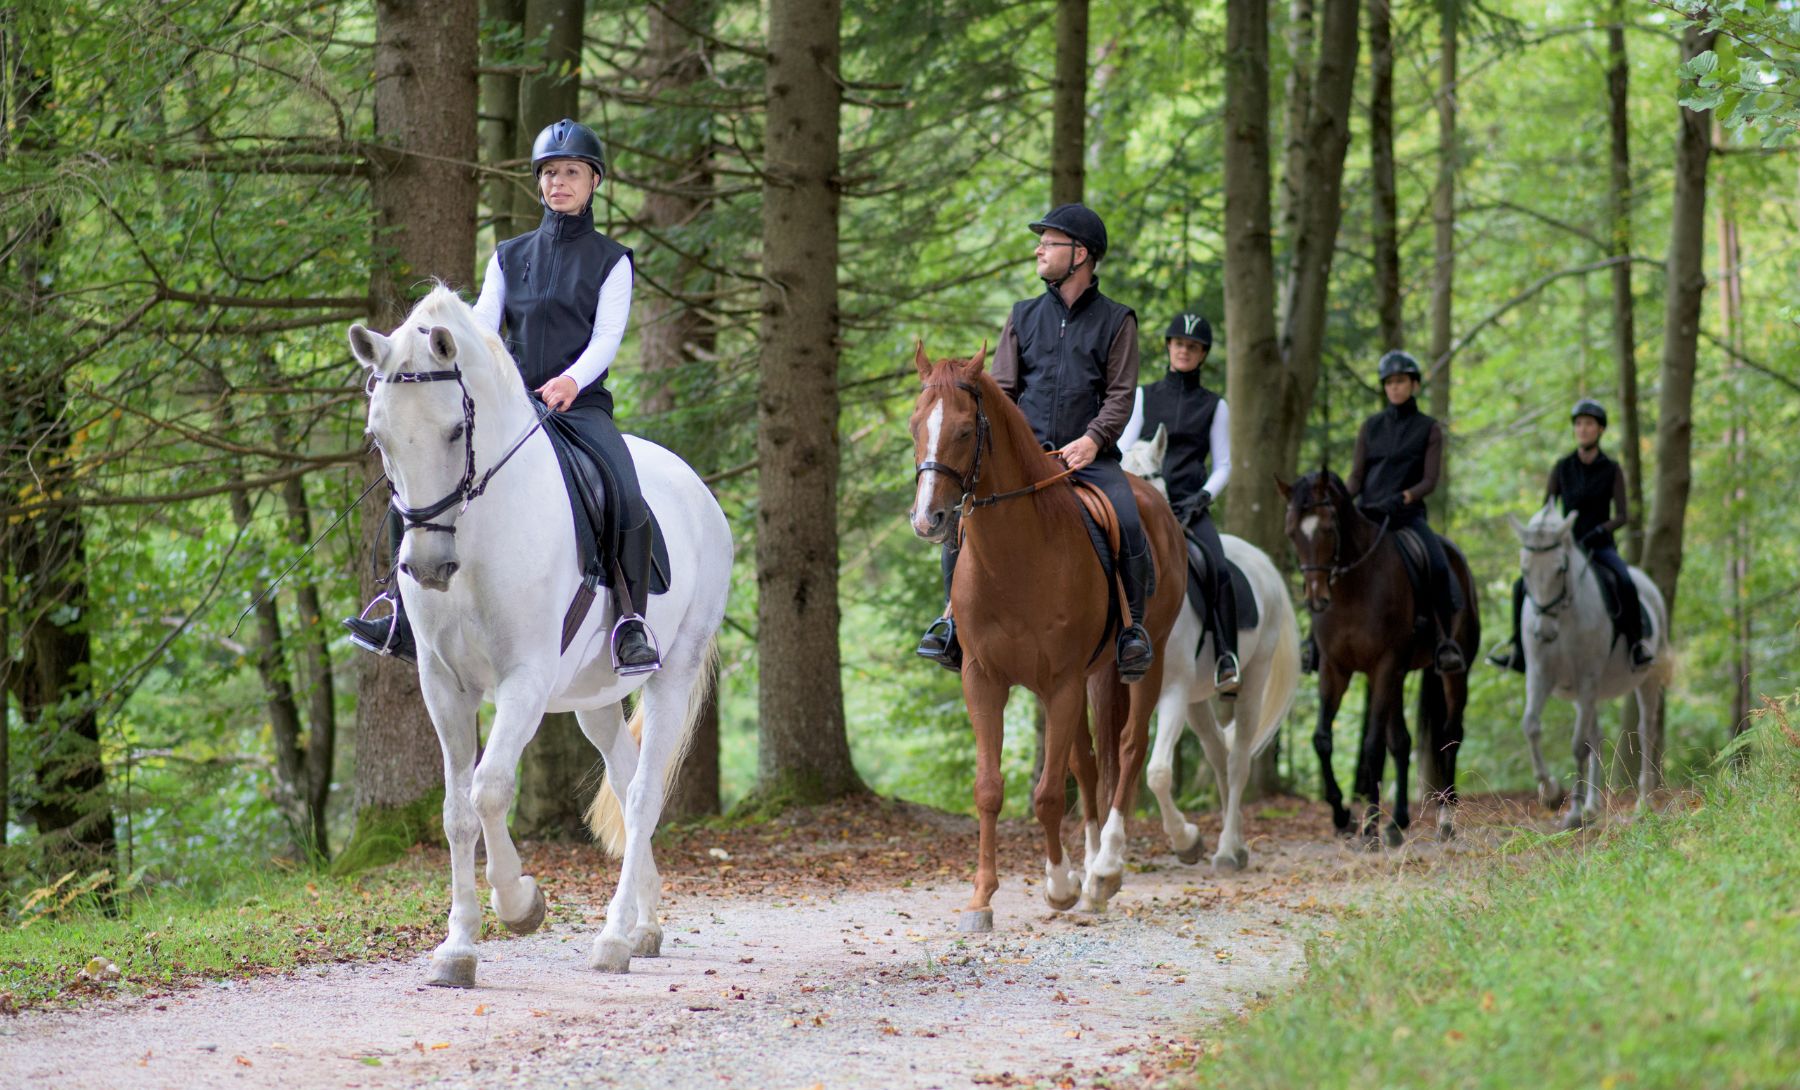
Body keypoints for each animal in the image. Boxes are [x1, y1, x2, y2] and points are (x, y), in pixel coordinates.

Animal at [347, 286, 731, 987]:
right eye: (378, 436)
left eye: (455, 430)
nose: (427, 567)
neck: (478, 532)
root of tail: (698, 491)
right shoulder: (443, 686)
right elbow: (456, 811)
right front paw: (458, 948)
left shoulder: (522, 681)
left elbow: (491, 789)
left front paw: (520, 903)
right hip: (593, 700)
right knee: (627, 779)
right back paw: (644, 926)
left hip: (673, 672)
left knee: (642, 795)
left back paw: (612, 939)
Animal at [907, 343, 1185, 930]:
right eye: (916, 425)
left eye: (963, 431)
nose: (928, 519)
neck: (1015, 556)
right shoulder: (984, 679)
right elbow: (990, 790)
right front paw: (982, 899)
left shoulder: (1060, 684)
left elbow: (1049, 794)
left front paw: (1060, 886)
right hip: (1090, 677)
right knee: (1090, 760)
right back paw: (1091, 869)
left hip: (1144, 663)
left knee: (1129, 748)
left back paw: (1105, 870)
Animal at [1121, 428, 1300, 872]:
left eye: (1149, 477)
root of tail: (1263, 563)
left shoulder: (1171, 691)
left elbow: (1158, 772)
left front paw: (1186, 840)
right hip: (1196, 700)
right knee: (1219, 754)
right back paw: (1235, 843)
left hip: (1250, 681)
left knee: (1237, 762)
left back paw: (1227, 850)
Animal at [1277, 469, 1477, 847]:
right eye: (1292, 532)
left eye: (1328, 528)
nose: (1316, 600)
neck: (1352, 588)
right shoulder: (1335, 669)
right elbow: (1322, 739)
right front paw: (1343, 817)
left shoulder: (1383, 665)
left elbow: (1372, 746)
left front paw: (1368, 827)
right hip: (1398, 676)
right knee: (1402, 741)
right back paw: (1397, 823)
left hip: (1452, 673)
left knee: (1450, 734)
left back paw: (1446, 819)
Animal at [1508, 505, 1671, 828]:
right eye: (1525, 570)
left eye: (1560, 569)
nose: (1544, 632)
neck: (1564, 617)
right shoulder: (1540, 677)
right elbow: (1531, 725)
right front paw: (1551, 792)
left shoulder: (1587, 679)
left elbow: (1577, 744)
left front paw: (1572, 811)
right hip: (1588, 693)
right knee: (1597, 734)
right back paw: (1593, 807)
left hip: (1643, 679)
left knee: (1646, 730)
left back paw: (1642, 803)